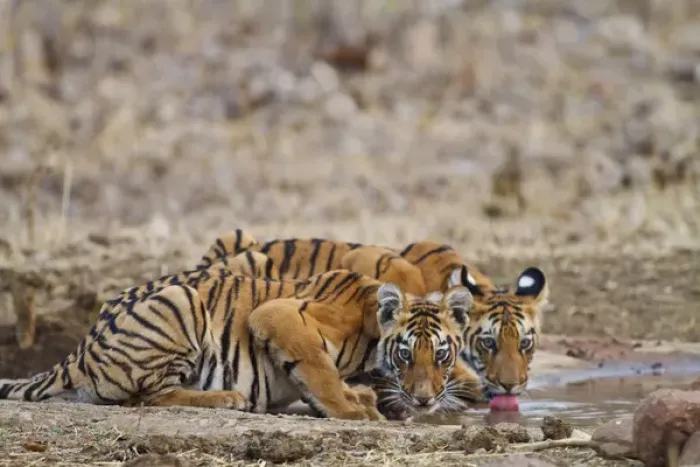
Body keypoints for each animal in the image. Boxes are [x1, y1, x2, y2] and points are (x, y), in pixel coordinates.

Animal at [0, 267, 483, 420]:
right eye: (405, 354)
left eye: (442, 355)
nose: (424, 401)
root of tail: (78, 352)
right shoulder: (277, 314)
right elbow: (321, 372)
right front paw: (354, 410)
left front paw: (359, 397)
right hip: (181, 300)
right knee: (147, 396)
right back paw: (226, 398)